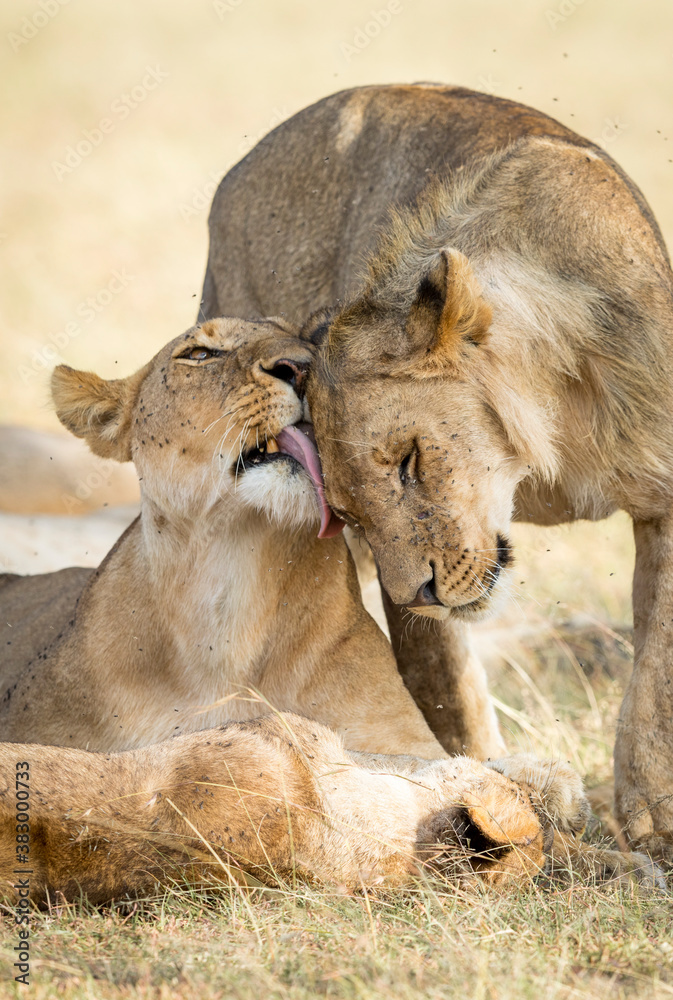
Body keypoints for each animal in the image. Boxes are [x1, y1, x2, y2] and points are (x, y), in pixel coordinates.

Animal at [201, 84, 673, 861]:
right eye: (349, 514)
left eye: (409, 460)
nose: (418, 590)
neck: (546, 443)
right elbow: (444, 683)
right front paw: (495, 796)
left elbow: (656, 664)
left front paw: (649, 813)